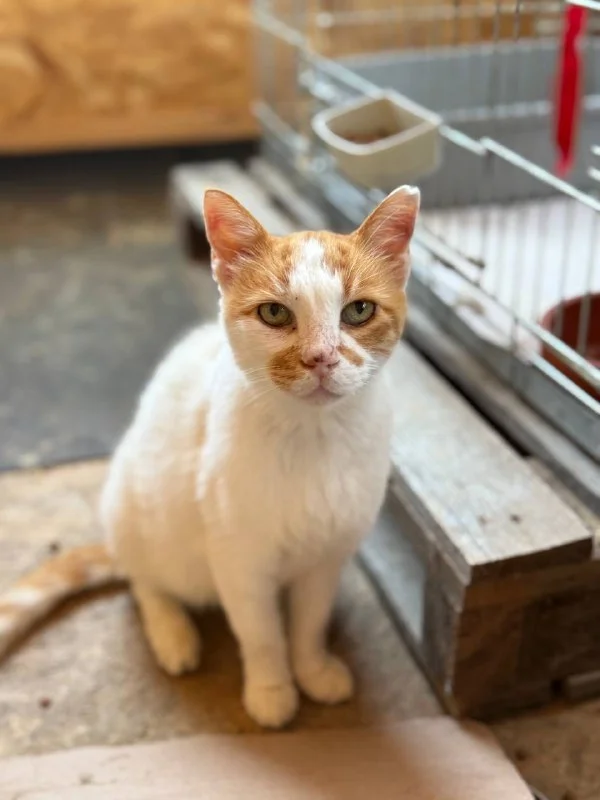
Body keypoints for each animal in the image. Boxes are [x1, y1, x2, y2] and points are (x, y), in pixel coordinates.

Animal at [0, 185, 420, 728]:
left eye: (359, 311)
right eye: (275, 314)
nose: (321, 358)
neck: (312, 437)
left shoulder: (328, 556)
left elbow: (308, 622)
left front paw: (313, 668)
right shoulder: (237, 559)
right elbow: (261, 633)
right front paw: (271, 690)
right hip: (139, 514)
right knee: (145, 580)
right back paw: (172, 634)